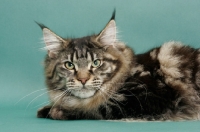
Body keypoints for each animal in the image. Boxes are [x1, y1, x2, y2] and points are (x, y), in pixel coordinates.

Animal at [36, 10, 200, 120]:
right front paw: (47, 109)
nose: (83, 79)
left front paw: (57, 111)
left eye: (96, 63)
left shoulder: (148, 97)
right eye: (69, 65)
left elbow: (96, 108)